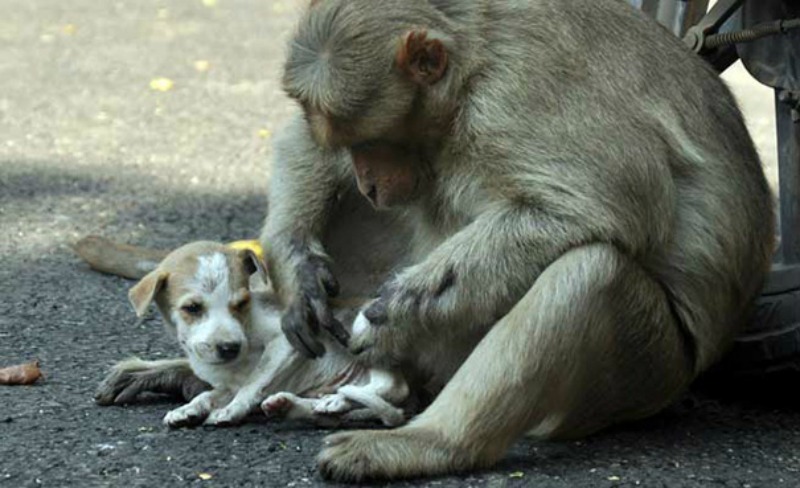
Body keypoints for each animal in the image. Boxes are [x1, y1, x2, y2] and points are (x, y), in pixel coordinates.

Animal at [115, 240, 410, 428]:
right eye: (192, 308)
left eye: (241, 302)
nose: (230, 348)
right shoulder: (226, 384)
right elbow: (207, 395)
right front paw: (187, 410)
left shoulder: (285, 342)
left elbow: (253, 382)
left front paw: (232, 410)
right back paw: (304, 404)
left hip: (361, 331)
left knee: (392, 387)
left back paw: (336, 399)